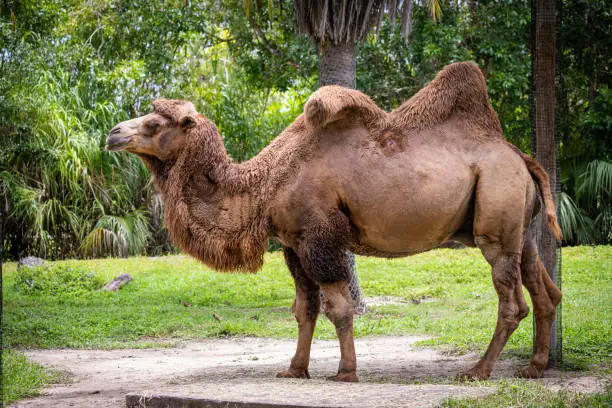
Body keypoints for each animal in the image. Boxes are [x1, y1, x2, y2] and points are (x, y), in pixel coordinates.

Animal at [106, 61, 564, 382]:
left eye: (154, 123)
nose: (113, 133)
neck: (265, 184)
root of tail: (522, 158)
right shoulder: (293, 243)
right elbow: (303, 309)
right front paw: (294, 369)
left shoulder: (319, 236)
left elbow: (339, 308)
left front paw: (346, 372)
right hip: (521, 228)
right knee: (544, 291)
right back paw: (534, 368)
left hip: (496, 219)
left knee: (513, 301)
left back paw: (477, 371)